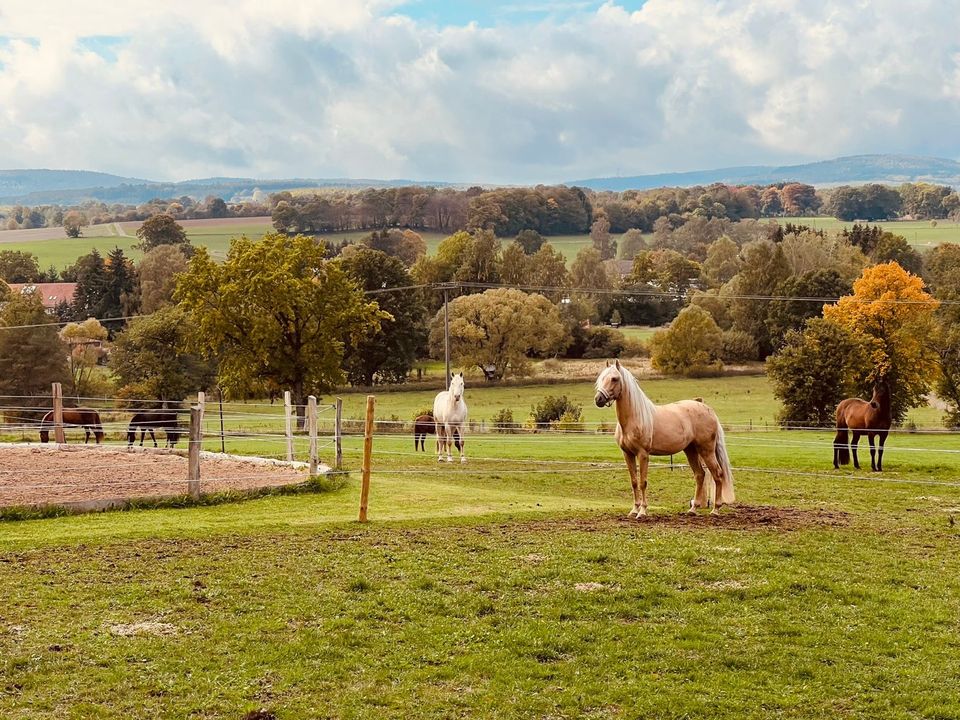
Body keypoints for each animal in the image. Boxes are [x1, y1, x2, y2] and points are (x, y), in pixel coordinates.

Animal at [592, 360, 736, 516]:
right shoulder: (627, 454)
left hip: (706, 451)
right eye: (601, 378)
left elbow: (643, 482)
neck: (635, 417)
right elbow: (634, 482)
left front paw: (642, 511)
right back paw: (693, 509)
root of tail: (709, 410)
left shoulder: (643, 454)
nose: (598, 399)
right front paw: (634, 510)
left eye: (614, 379)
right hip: (691, 450)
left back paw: (715, 509)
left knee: (717, 474)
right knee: (700, 475)